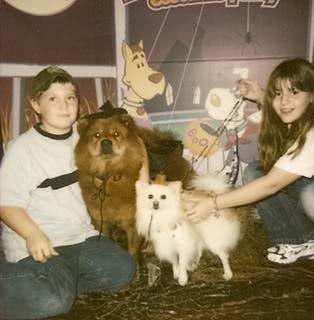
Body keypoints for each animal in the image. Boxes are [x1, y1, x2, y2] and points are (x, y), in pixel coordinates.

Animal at [76, 104, 194, 258]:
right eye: (96, 135)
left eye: (116, 134)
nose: (106, 142)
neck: (110, 174)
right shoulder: (102, 222)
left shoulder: (133, 225)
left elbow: (132, 252)